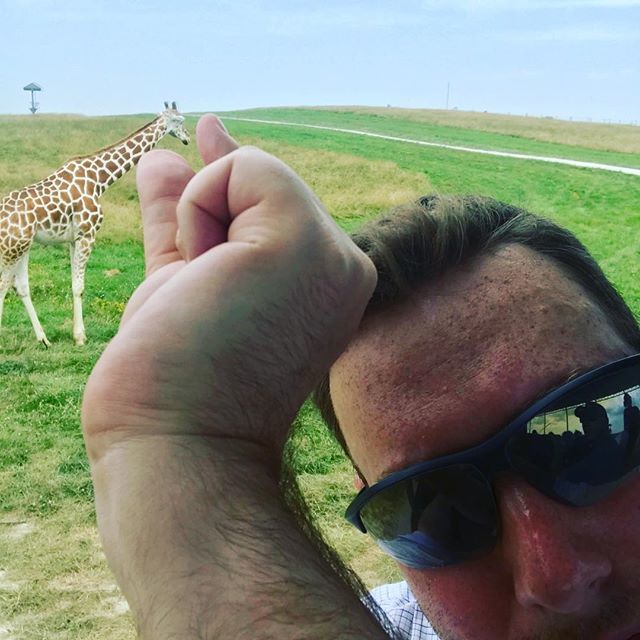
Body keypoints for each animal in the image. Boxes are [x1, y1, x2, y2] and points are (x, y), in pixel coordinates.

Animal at [0, 102, 189, 347]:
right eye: (180, 120)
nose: (187, 138)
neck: (100, 179)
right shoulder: (88, 234)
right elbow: (79, 287)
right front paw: (81, 337)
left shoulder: (74, 238)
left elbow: (73, 284)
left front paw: (75, 334)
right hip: (12, 248)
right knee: (4, 284)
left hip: (22, 247)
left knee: (20, 287)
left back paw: (44, 339)